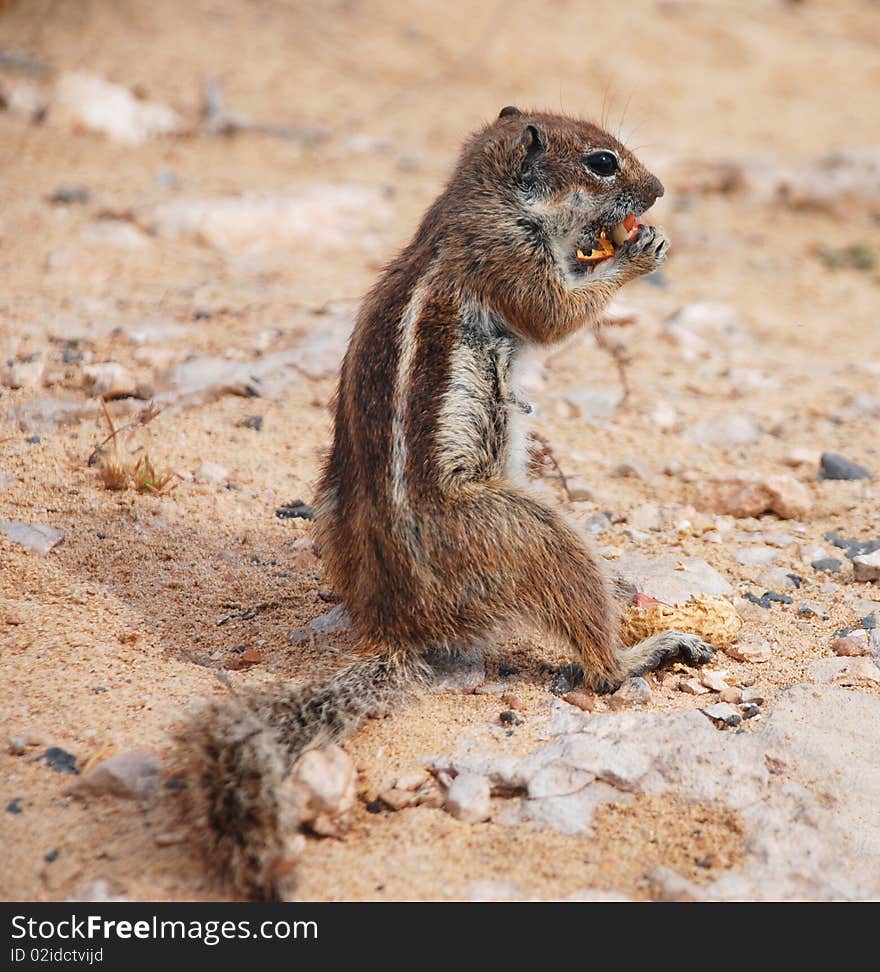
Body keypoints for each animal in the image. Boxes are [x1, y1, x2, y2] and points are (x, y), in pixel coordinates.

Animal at [180, 108, 716, 904]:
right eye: (603, 162)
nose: (658, 191)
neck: (483, 200)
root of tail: (410, 626)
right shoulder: (508, 259)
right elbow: (557, 313)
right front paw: (638, 252)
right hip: (532, 530)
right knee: (601, 673)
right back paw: (648, 649)